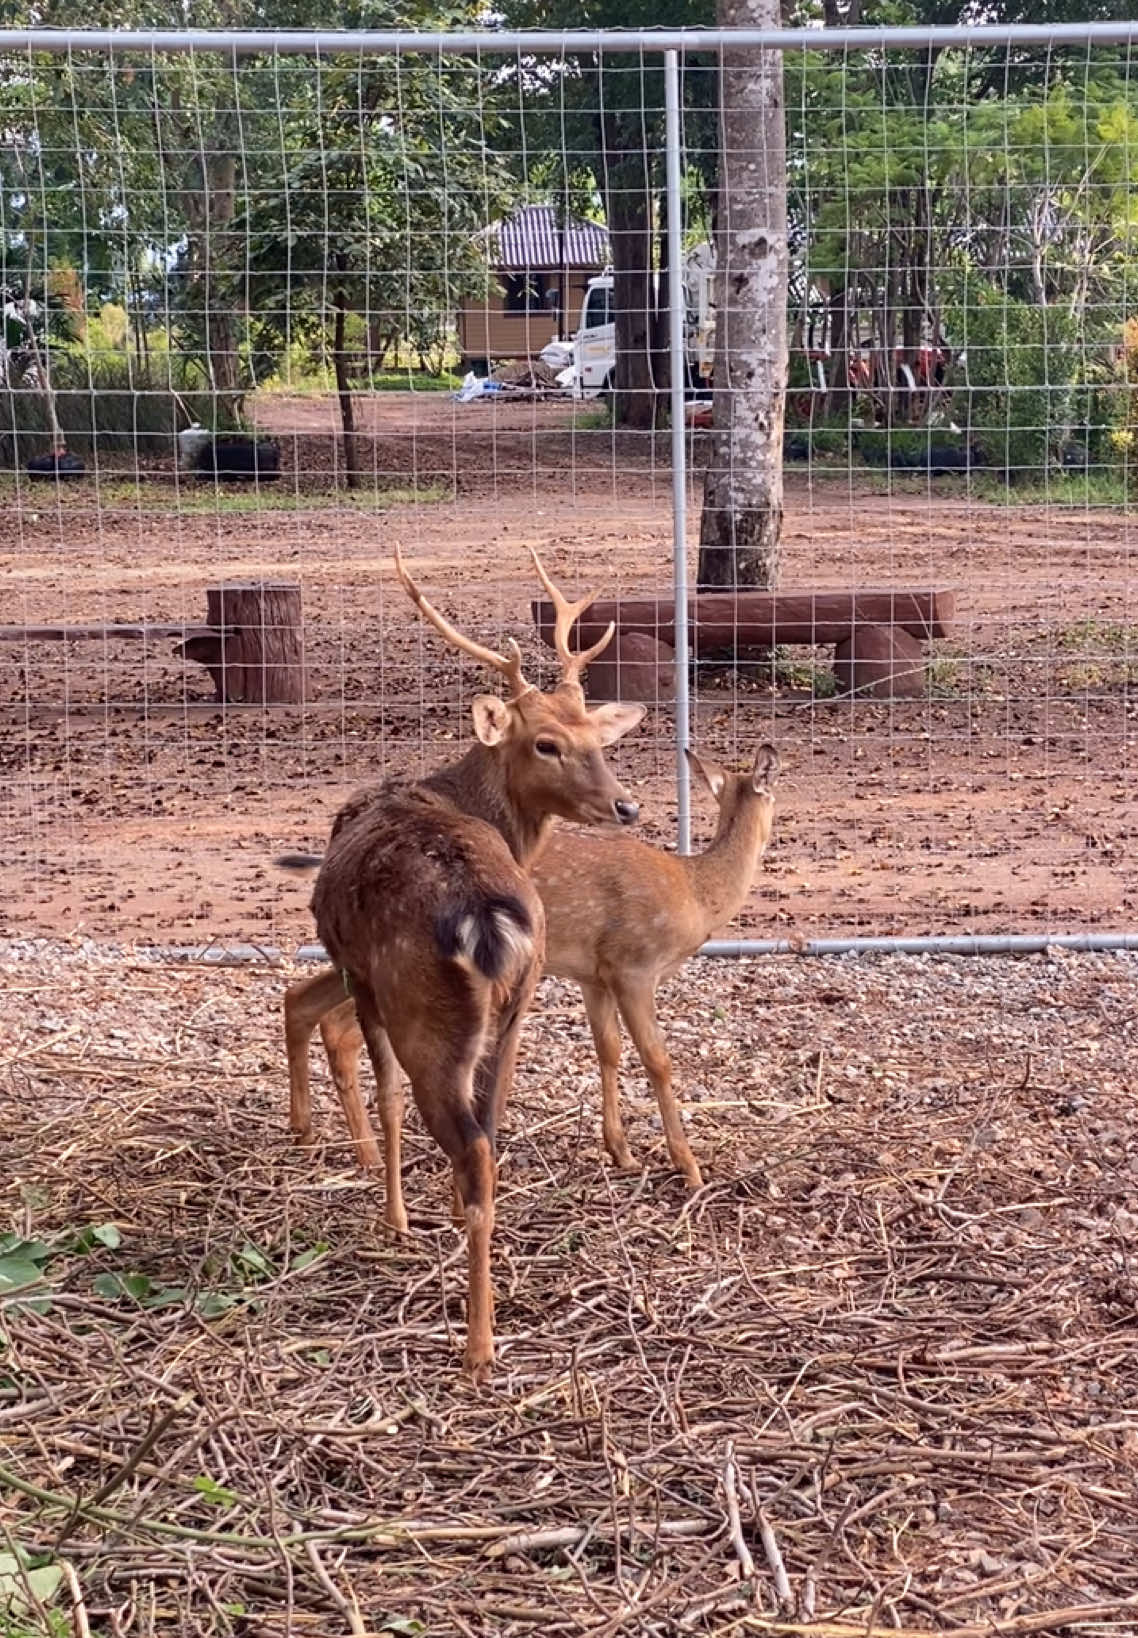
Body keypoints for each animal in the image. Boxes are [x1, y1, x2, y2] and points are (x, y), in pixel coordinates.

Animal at [284, 750, 782, 1199]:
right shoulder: (634, 964)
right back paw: (362, 1154)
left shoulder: (594, 975)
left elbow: (608, 1050)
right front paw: (688, 1166)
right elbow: (657, 1060)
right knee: (342, 1024)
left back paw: (319, 1138)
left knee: (304, 1000)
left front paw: (620, 1151)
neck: (695, 894)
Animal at [289, 543, 645, 1375]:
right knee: (492, 1120)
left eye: (597, 737)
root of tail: (485, 916)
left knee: (467, 1137)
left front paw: (395, 1217)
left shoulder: (365, 975)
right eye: (548, 741)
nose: (626, 806)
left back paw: (478, 1341)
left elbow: (386, 1095)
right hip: (515, 1005)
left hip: (424, 1005)